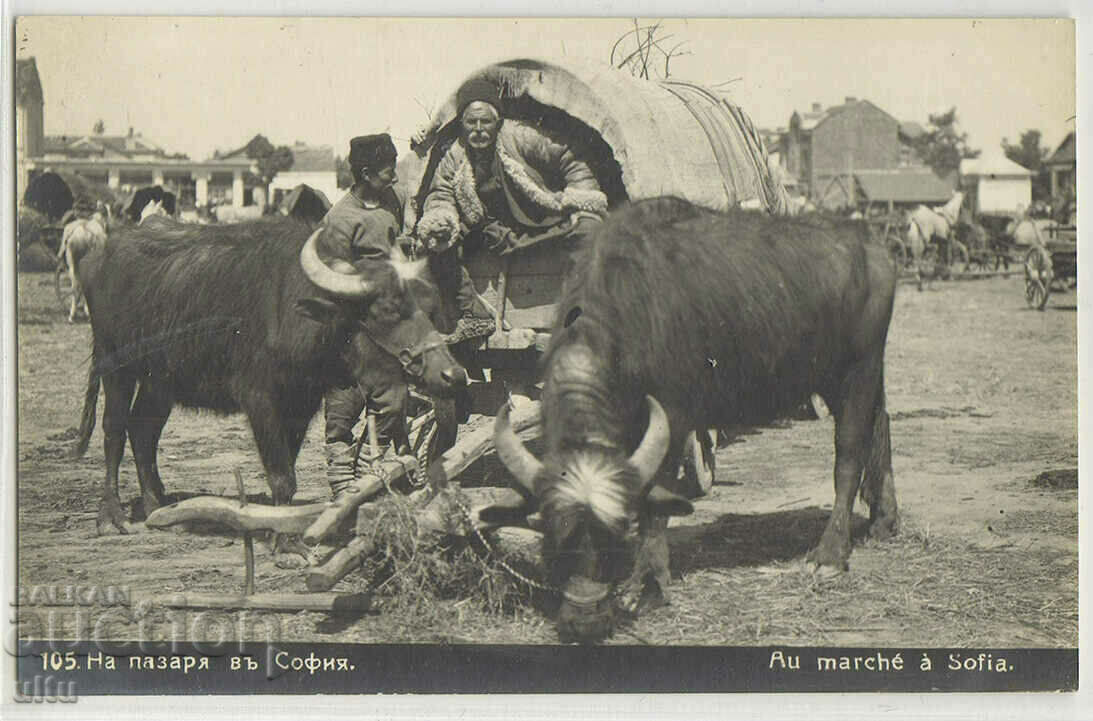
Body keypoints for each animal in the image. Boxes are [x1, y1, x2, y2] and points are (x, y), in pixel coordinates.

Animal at [74, 214, 467, 535]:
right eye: (388, 310)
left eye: (431, 309)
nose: (454, 375)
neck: (291, 310)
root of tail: (98, 255)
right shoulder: (259, 398)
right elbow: (281, 477)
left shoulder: (301, 403)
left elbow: (288, 468)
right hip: (114, 363)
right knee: (114, 430)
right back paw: (111, 517)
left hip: (161, 379)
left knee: (143, 430)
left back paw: (158, 506)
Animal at [489, 196, 896, 642]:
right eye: (554, 537)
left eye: (613, 534)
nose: (584, 619)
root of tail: (870, 245)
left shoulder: (675, 416)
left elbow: (657, 501)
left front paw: (648, 584)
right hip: (844, 377)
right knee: (882, 429)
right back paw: (884, 519)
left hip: (858, 370)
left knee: (850, 454)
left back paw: (830, 554)